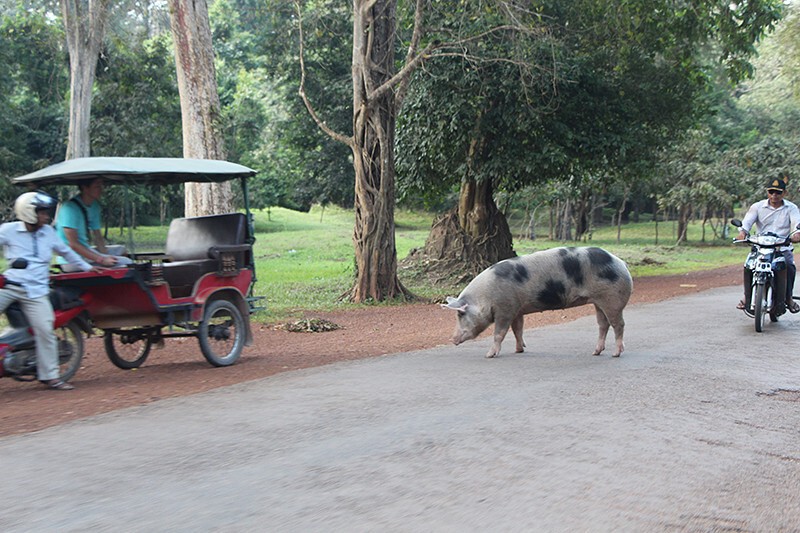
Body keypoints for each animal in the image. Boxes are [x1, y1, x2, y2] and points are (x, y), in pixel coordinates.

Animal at [444, 246, 632, 358]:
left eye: (460, 314)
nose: (452, 339)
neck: (485, 297)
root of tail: (621, 263)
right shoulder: (517, 309)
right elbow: (517, 330)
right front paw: (519, 350)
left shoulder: (505, 309)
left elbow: (499, 333)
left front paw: (489, 355)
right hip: (598, 302)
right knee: (603, 325)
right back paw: (595, 352)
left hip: (612, 299)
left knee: (619, 325)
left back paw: (616, 354)